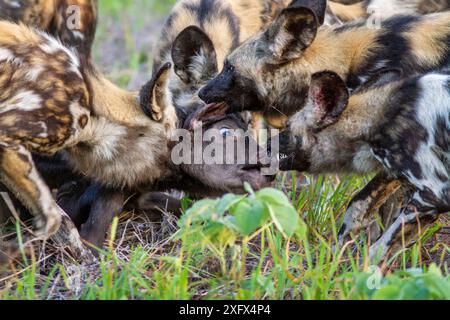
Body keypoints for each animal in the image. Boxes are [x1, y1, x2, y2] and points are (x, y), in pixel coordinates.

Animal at [280, 69, 450, 260]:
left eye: (286, 130)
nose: (265, 146)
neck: (380, 115)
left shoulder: (435, 194)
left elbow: (378, 248)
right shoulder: (395, 173)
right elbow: (357, 204)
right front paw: (335, 255)